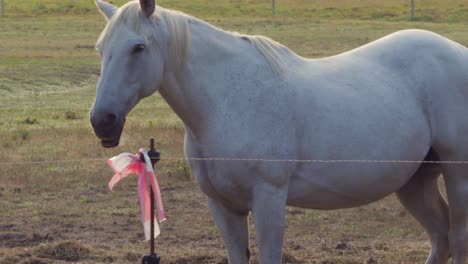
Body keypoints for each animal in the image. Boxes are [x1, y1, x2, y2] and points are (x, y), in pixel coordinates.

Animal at [91, 1, 468, 262]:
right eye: (101, 49)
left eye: (139, 47)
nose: (102, 120)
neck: (227, 101)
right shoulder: (223, 205)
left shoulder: (269, 198)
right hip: (414, 181)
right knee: (441, 239)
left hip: (457, 174)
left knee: (458, 239)